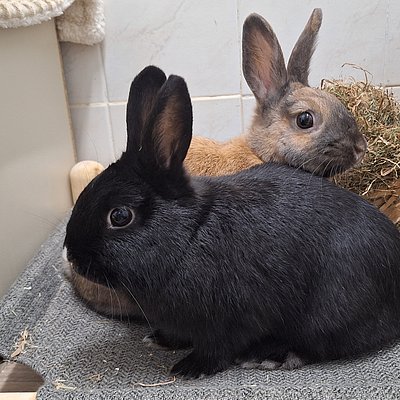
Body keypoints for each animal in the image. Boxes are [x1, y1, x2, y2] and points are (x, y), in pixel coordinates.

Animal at [63, 65, 400, 379]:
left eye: (119, 216)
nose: (72, 255)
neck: (190, 234)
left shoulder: (230, 318)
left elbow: (218, 348)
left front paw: (190, 368)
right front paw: (161, 339)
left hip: (328, 311)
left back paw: (270, 356)